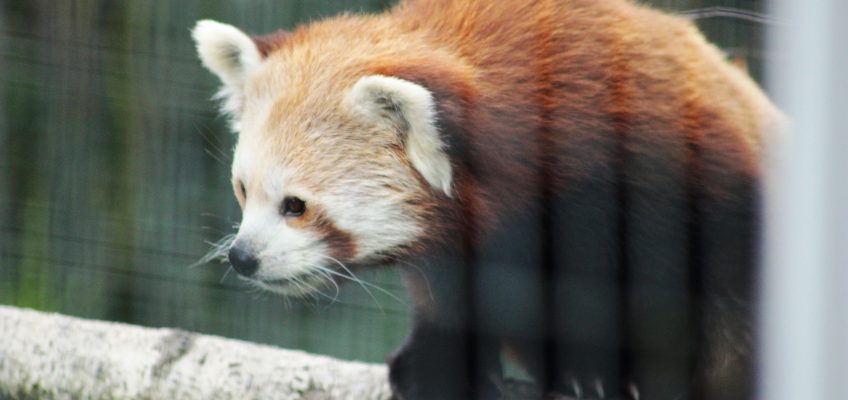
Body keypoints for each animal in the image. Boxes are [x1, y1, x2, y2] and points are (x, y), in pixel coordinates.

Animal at [192, 1, 780, 398]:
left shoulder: (657, 181)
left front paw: (594, 373)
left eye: (296, 205)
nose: (242, 258)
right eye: (243, 190)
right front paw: (438, 363)